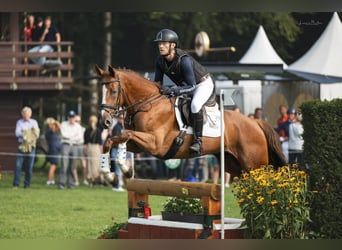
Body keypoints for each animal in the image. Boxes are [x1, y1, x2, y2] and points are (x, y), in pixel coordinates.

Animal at [96, 64, 286, 182]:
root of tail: (255, 122)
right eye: (101, 90)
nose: (105, 121)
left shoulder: (155, 144)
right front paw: (111, 173)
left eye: (113, 91)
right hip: (235, 165)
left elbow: (125, 134)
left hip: (255, 166)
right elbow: (113, 140)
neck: (148, 104)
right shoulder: (141, 145)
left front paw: (121, 169)